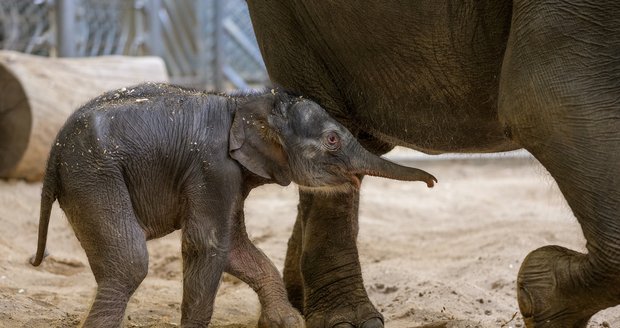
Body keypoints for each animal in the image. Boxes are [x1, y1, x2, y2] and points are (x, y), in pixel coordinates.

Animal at [30, 82, 436, 328]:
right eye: (333, 139)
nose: (432, 182)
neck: (246, 102)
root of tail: (52, 154)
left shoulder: (231, 179)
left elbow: (237, 249)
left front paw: (287, 322)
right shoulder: (213, 168)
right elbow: (208, 244)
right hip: (95, 177)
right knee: (129, 263)